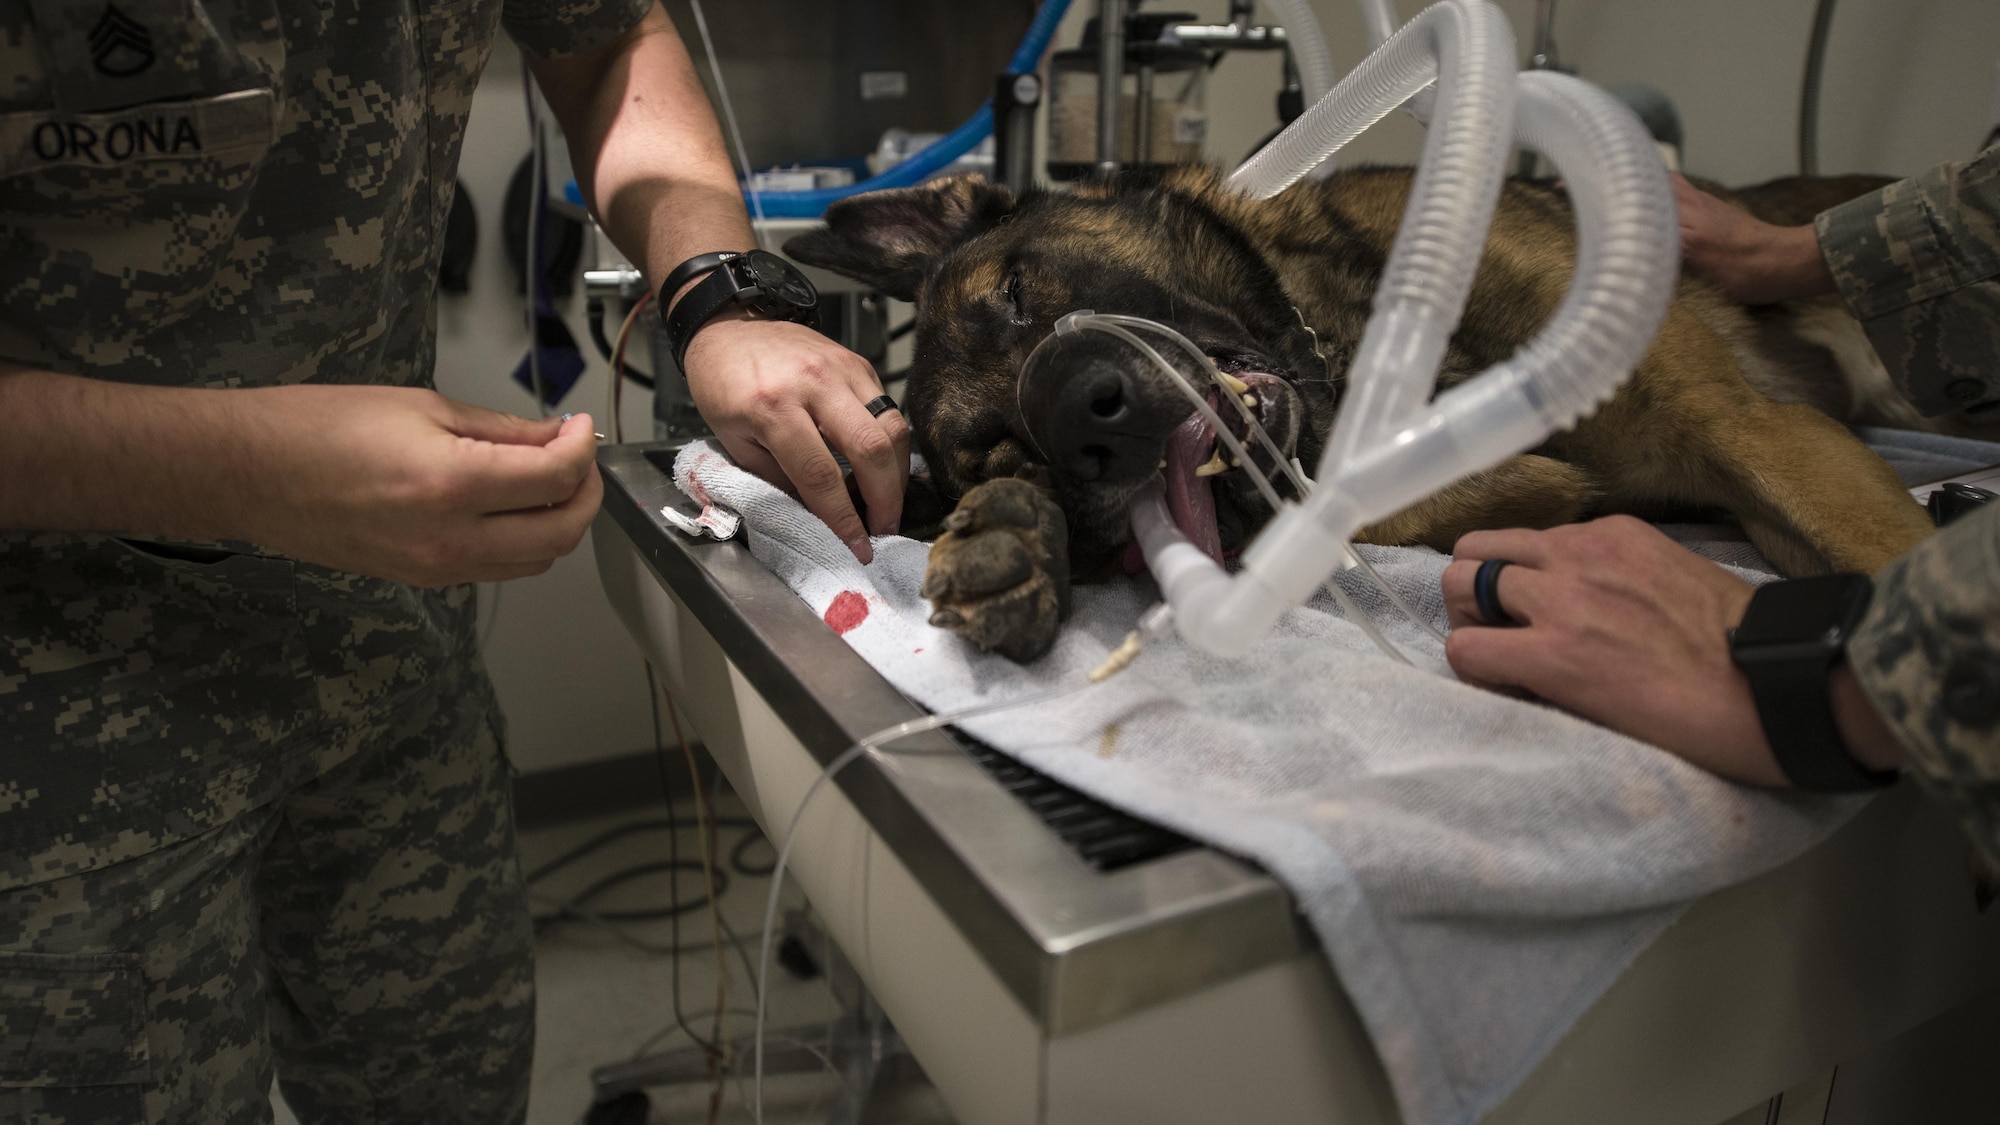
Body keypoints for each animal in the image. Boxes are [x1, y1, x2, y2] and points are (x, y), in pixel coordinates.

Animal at [780, 166, 1936, 656]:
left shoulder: (1755, 430)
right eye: (998, 452)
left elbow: (1889, 557)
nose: (1090, 424)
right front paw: (1013, 541)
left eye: (1017, 293)